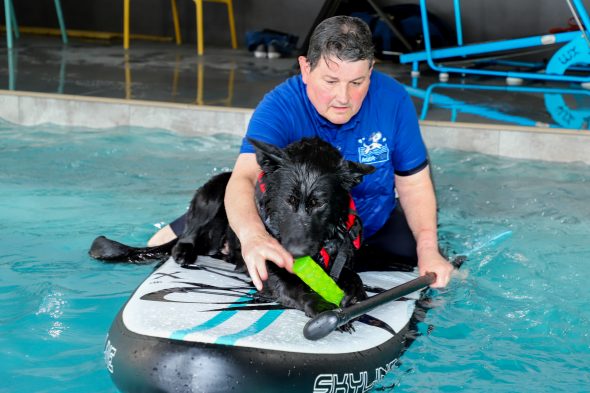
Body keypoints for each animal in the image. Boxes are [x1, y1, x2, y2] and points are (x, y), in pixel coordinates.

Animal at [90, 136, 376, 316]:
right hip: (216, 192)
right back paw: (184, 251)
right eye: (289, 200)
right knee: (188, 233)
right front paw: (321, 307)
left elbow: (352, 276)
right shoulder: (265, 265)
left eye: (320, 204)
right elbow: (292, 286)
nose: (295, 254)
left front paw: (355, 292)